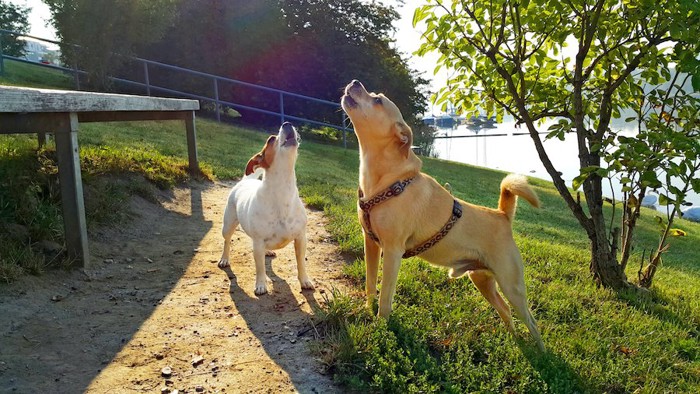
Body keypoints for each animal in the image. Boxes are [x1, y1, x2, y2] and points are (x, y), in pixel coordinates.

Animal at [217, 121, 314, 294]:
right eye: (270, 140)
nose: (287, 122)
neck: (282, 190)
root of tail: (245, 181)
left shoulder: (301, 238)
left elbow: (301, 262)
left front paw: (305, 281)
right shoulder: (258, 242)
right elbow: (260, 266)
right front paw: (261, 285)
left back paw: (267, 251)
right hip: (227, 226)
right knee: (227, 242)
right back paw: (224, 259)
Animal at [342, 81, 544, 350]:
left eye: (378, 101)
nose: (355, 83)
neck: (390, 181)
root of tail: (502, 215)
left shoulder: (393, 251)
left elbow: (385, 295)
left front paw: (380, 327)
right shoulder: (371, 244)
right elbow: (370, 283)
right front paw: (367, 310)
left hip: (511, 286)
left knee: (531, 321)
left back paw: (543, 355)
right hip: (482, 280)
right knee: (505, 310)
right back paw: (515, 341)